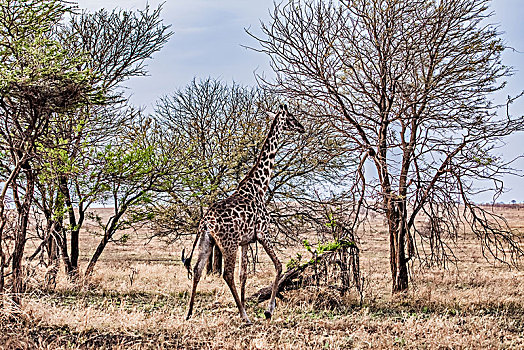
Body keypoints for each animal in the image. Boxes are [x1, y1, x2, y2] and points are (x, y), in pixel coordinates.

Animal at [185, 104, 304, 326]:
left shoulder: (246, 241)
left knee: (197, 270)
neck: (259, 187)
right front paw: (268, 311)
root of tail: (205, 222)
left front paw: (247, 305)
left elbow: (244, 274)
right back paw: (244, 316)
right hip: (227, 243)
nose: (301, 127)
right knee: (226, 274)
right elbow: (279, 266)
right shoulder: (263, 233)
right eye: (291, 118)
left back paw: (189, 313)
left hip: (208, 242)